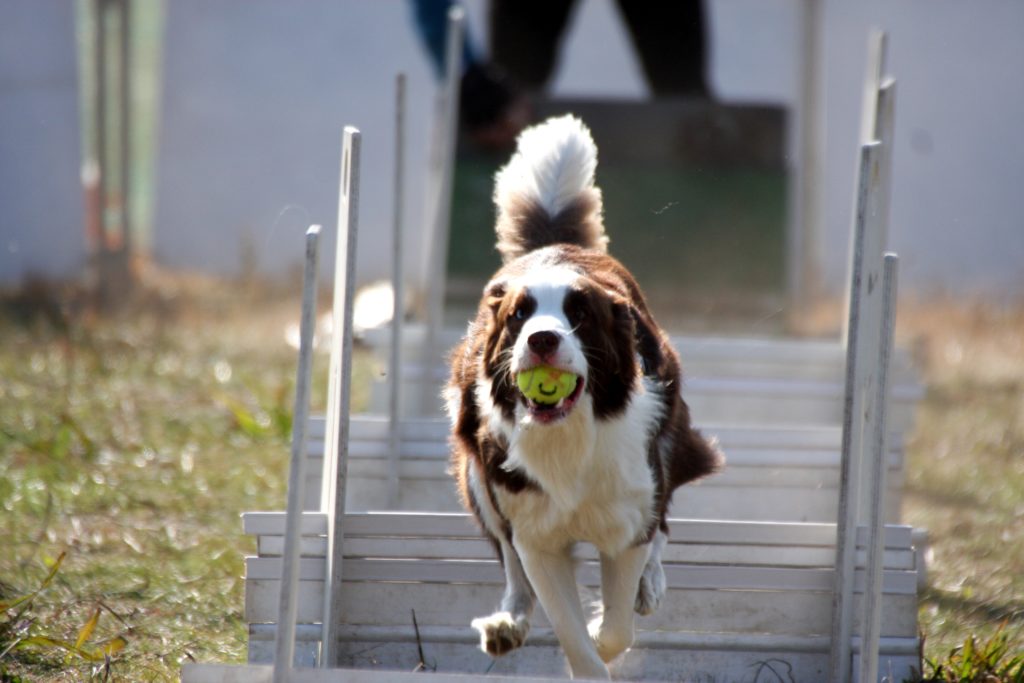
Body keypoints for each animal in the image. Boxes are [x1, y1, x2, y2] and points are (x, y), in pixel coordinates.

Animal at [446, 114, 720, 679]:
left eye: (580, 315)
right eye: (519, 315)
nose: (542, 340)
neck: (569, 437)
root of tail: (553, 245)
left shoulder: (627, 518)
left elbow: (615, 626)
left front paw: (614, 618)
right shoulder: (536, 534)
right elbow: (565, 624)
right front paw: (575, 643)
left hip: (669, 442)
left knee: (663, 520)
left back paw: (649, 586)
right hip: (477, 475)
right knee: (507, 556)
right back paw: (508, 622)